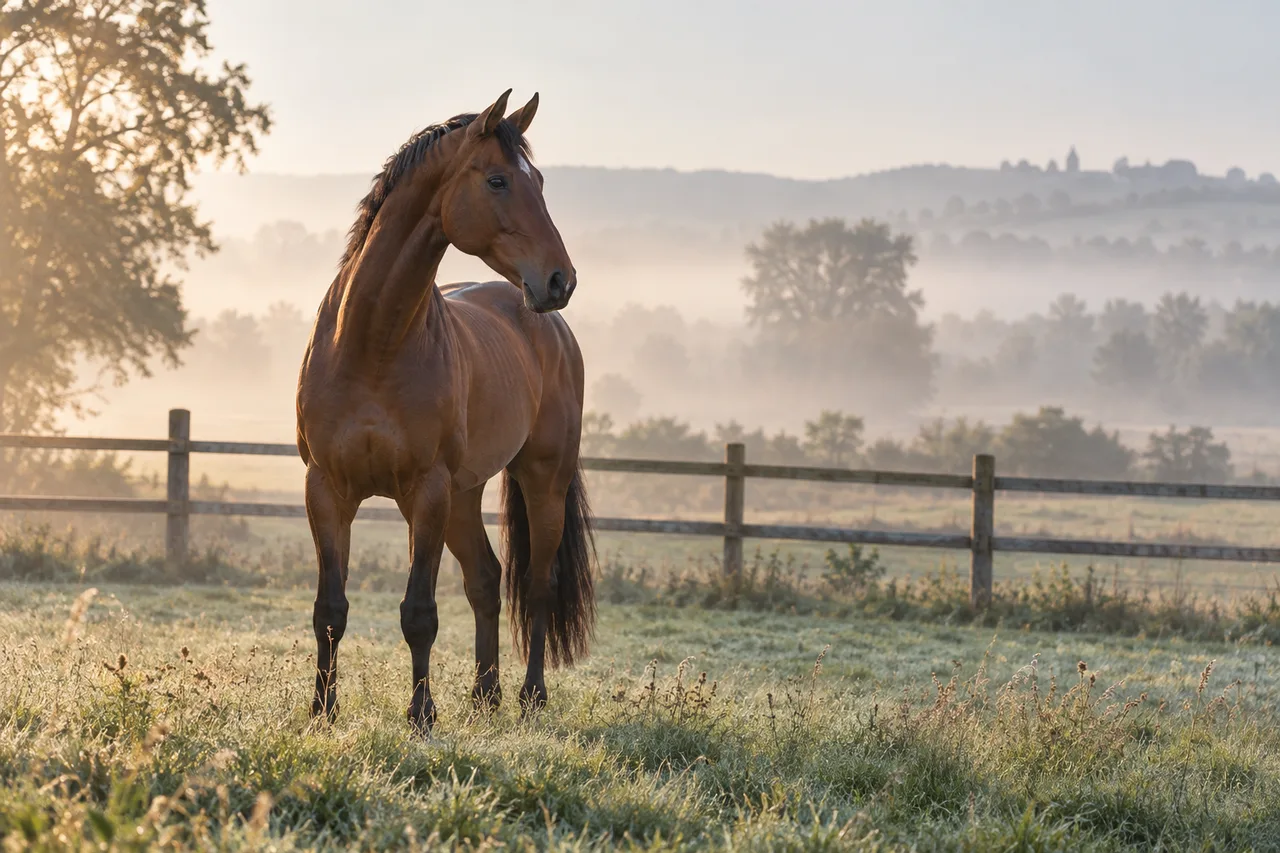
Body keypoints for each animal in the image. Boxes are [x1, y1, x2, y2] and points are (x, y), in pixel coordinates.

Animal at [295, 90, 595, 734]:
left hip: (541, 481)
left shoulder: (425, 490)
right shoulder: (326, 488)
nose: (560, 280)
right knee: (486, 579)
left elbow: (419, 613)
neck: (372, 343)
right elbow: (330, 608)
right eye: (499, 179)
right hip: (464, 495)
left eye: (540, 181)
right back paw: (485, 694)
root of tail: (550, 328)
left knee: (536, 586)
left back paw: (530, 695)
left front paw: (421, 714)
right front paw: (322, 710)